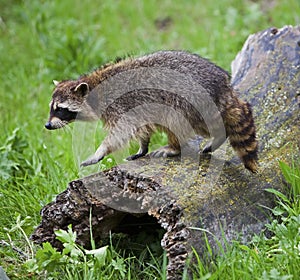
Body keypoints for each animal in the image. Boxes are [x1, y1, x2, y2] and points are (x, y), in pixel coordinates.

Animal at [45, 51, 258, 172]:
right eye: (51, 108)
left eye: (60, 110)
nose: (47, 125)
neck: (93, 88)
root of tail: (223, 86)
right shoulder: (136, 109)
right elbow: (142, 128)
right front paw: (142, 148)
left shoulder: (121, 105)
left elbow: (122, 130)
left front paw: (100, 151)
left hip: (190, 100)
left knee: (176, 120)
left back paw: (175, 146)